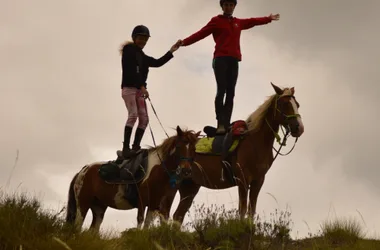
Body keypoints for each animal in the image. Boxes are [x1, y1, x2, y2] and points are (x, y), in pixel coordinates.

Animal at [159, 82, 304, 225]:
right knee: (164, 212)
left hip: (190, 187)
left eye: (297, 105)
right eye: (285, 104)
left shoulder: (258, 181)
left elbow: (251, 212)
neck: (255, 142)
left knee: (178, 216)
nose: (299, 128)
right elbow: (242, 211)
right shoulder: (243, 181)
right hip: (173, 186)